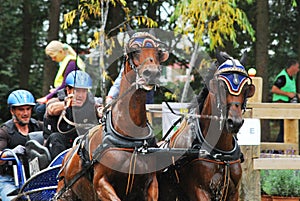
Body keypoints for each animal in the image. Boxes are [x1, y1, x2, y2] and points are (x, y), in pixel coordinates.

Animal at [54, 30, 169, 201]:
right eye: (134, 50)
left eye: (158, 52)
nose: (152, 73)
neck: (130, 137)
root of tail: (66, 159)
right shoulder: (101, 184)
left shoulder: (151, 184)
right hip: (65, 192)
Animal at [158, 51, 254, 201]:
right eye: (221, 86)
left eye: (246, 89)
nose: (235, 122)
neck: (220, 152)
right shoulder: (200, 191)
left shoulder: (234, 192)